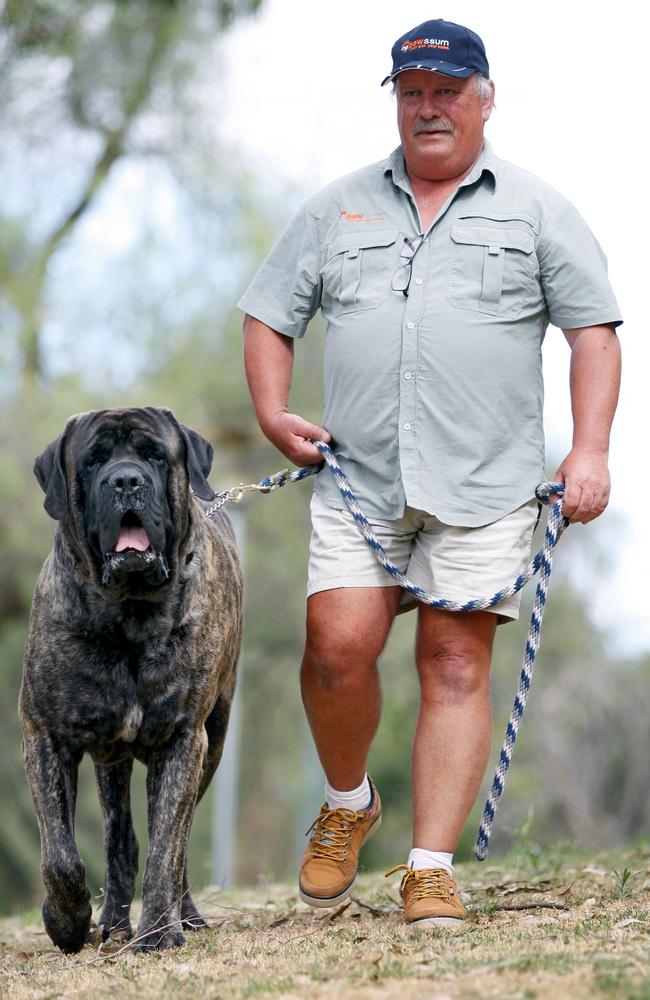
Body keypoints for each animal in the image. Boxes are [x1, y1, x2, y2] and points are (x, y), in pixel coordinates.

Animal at [21, 404, 243, 952]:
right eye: (94, 461)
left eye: (155, 456)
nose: (125, 480)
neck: (129, 615)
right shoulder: (44, 735)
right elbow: (60, 855)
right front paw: (66, 921)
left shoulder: (184, 739)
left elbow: (168, 844)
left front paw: (161, 932)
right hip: (112, 760)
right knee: (119, 838)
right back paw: (113, 923)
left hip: (215, 738)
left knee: (175, 845)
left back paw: (180, 917)